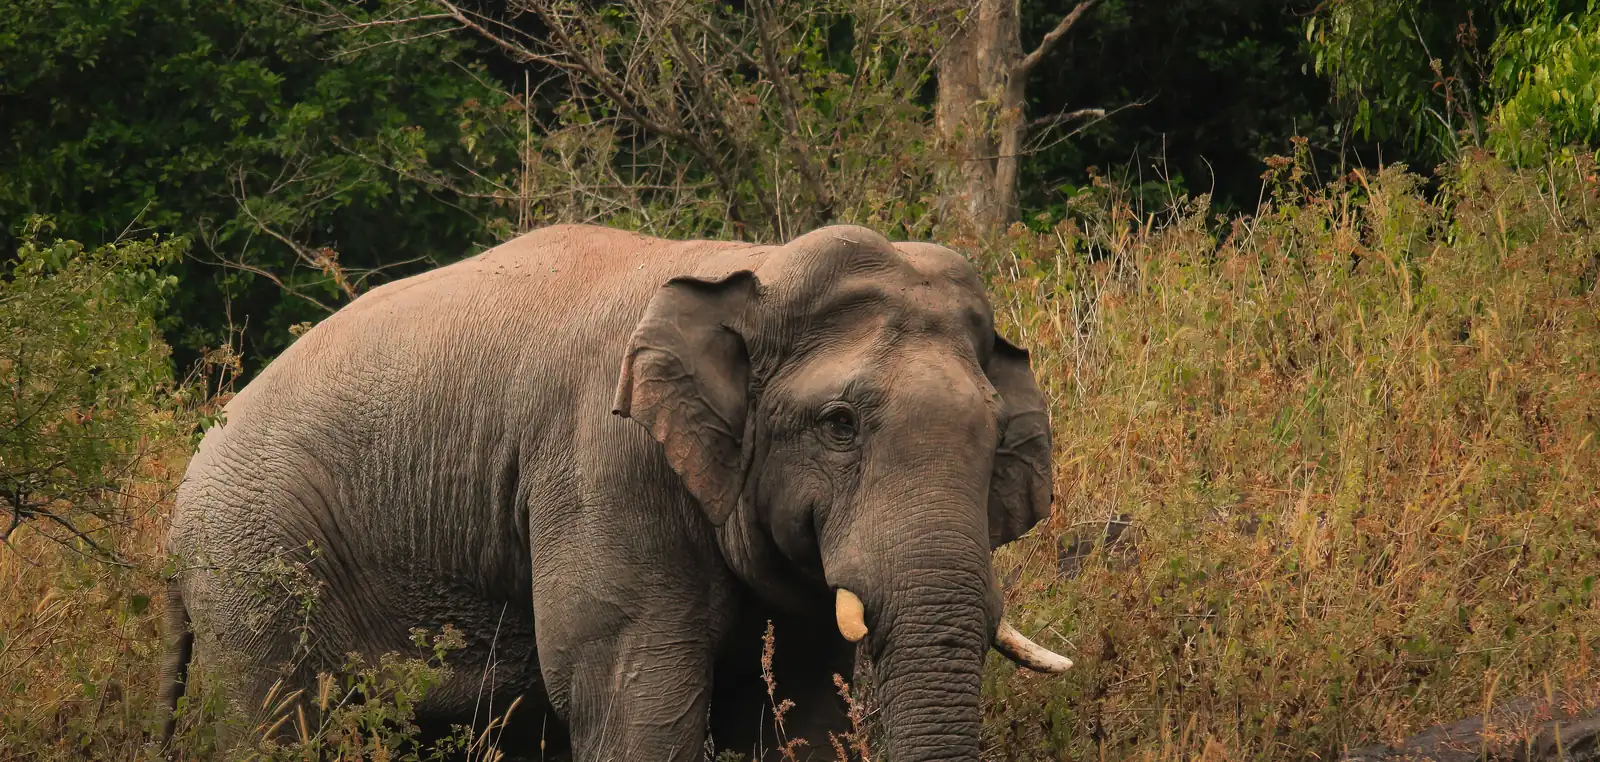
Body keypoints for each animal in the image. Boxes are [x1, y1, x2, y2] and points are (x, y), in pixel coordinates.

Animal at [158, 223, 1071, 761]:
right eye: (838, 424)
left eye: (994, 436)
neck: (758, 269)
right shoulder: (604, 467)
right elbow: (635, 697)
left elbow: (804, 705)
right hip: (252, 568)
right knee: (274, 721)